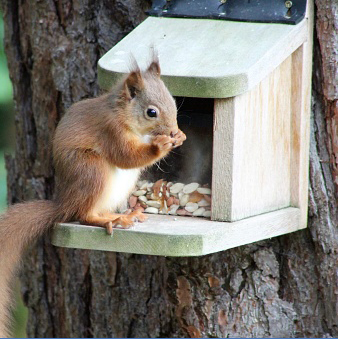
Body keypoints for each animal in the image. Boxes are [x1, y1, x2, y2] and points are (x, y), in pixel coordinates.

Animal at [0, 56, 185, 338]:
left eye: (173, 103)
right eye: (151, 112)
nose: (173, 131)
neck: (123, 115)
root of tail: (64, 202)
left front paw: (180, 136)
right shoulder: (110, 131)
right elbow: (126, 156)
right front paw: (160, 146)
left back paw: (126, 214)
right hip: (91, 170)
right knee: (83, 215)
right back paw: (107, 220)